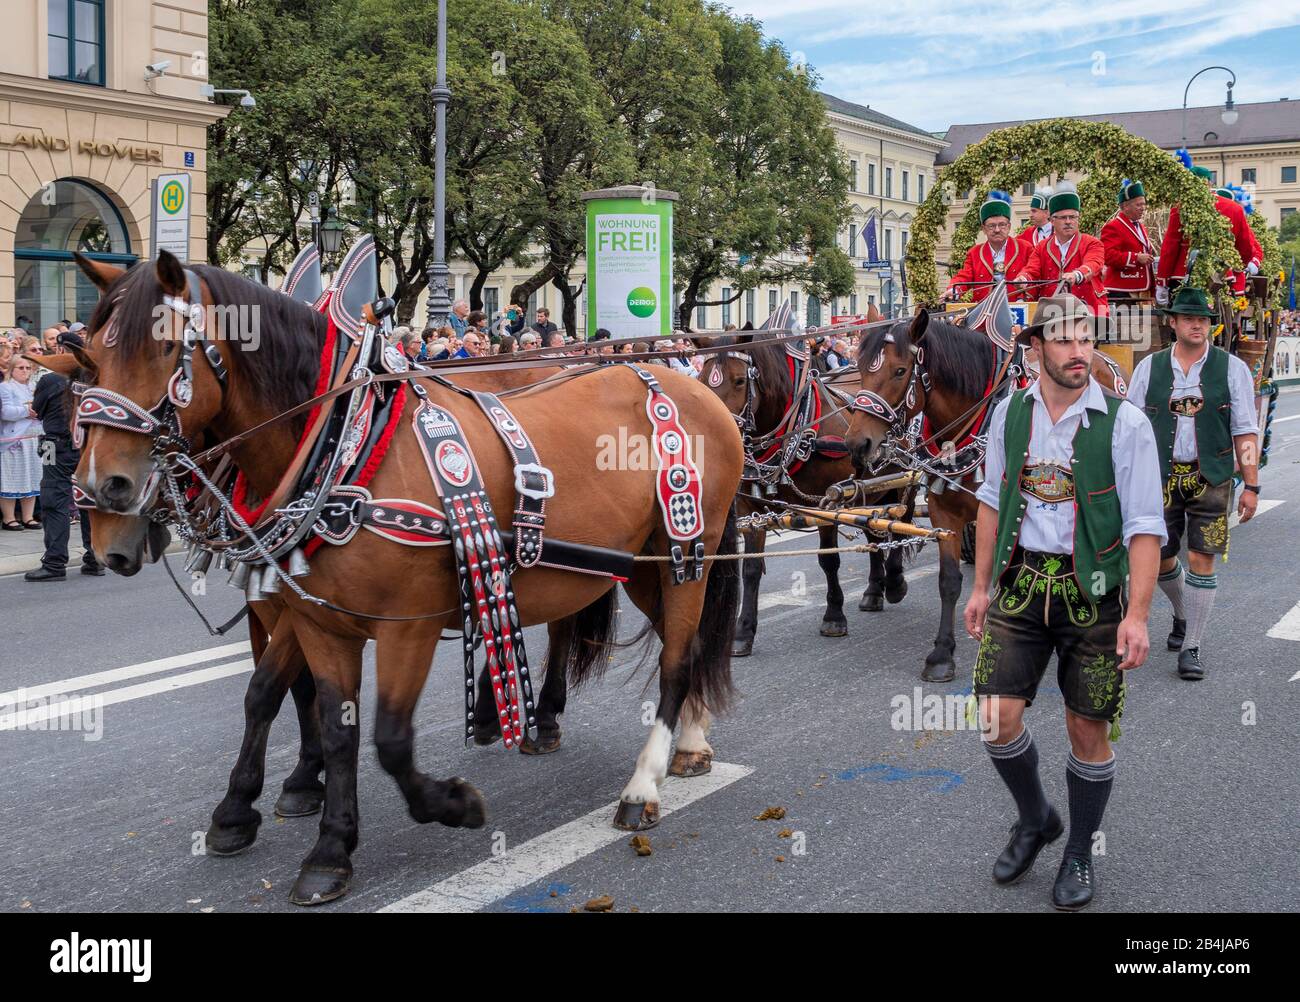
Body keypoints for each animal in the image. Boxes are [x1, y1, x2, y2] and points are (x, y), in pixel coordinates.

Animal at [58, 253, 743, 909]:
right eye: (90, 358)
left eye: (165, 349)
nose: (102, 492)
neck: (349, 448)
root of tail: (688, 383)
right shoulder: (316, 621)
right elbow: (319, 719)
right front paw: (323, 846)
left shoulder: (404, 627)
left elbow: (386, 737)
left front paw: (453, 804)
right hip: (642, 564)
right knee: (680, 645)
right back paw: (686, 742)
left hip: (687, 554)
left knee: (676, 662)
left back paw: (642, 785)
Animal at [702, 331, 904, 657]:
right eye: (701, 379)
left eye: (739, 380)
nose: (716, 436)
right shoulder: (750, 509)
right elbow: (751, 568)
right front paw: (743, 632)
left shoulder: (826, 503)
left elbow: (828, 560)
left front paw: (834, 617)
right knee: (875, 532)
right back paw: (874, 591)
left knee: (900, 521)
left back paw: (896, 582)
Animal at [842, 309, 1128, 686]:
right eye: (860, 368)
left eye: (900, 370)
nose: (857, 444)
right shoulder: (943, 513)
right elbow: (949, 582)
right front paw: (942, 653)